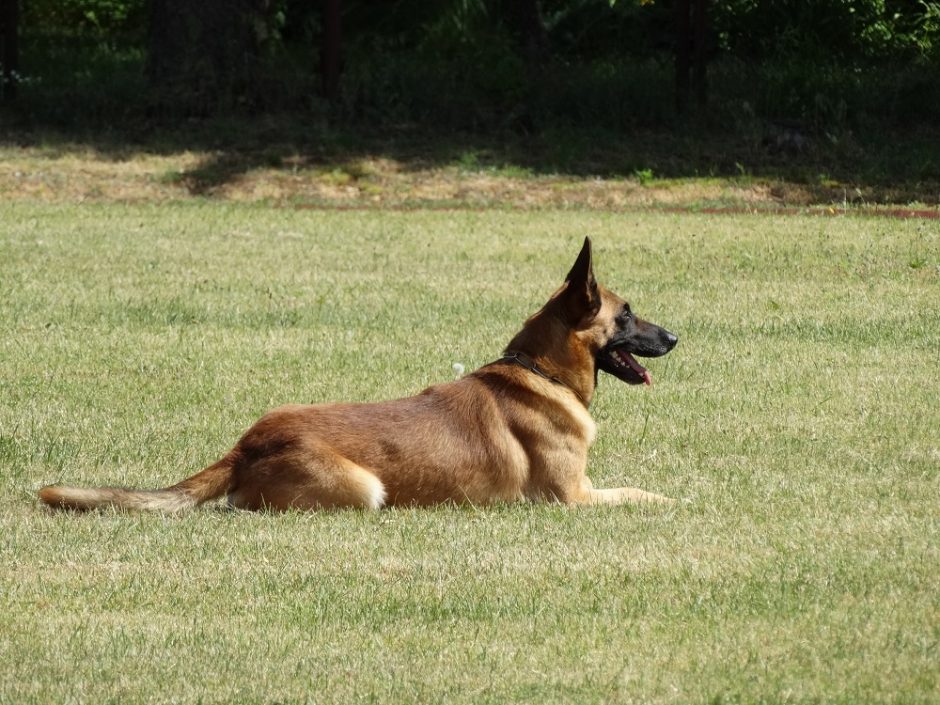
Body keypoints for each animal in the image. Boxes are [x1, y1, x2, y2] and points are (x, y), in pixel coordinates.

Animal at [40, 238, 680, 512]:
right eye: (626, 314)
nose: (675, 337)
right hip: (365, 489)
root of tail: (247, 444)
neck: (541, 372)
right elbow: (642, 494)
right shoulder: (572, 498)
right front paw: (676, 501)